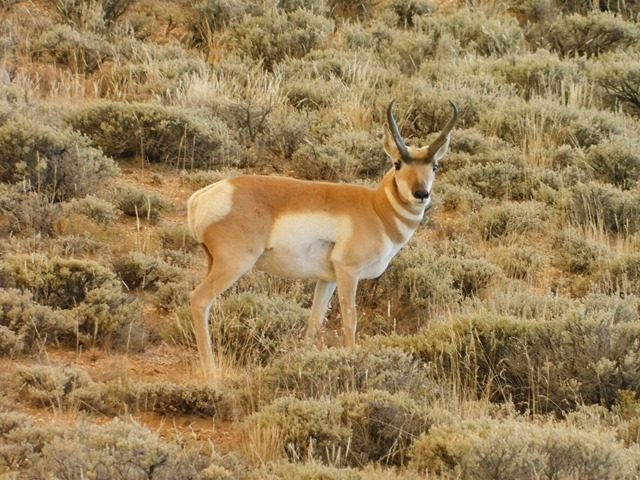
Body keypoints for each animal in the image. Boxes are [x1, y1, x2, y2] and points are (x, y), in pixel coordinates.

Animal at [188, 100, 458, 378]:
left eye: (434, 166)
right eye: (397, 163)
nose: (421, 193)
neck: (375, 208)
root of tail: (203, 196)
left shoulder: (327, 279)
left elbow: (316, 319)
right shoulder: (348, 272)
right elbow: (350, 319)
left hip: (214, 263)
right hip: (234, 265)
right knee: (198, 300)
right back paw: (211, 372)